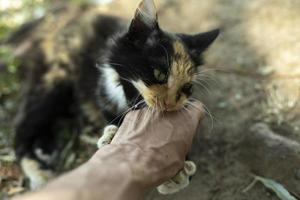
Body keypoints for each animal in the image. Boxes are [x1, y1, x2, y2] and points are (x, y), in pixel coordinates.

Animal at [13, 0, 218, 194]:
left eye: (187, 87)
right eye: (159, 74)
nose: (170, 104)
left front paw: (179, 174)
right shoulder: (104, 94)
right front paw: (111, 136)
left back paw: (45, 148)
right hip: (54, 79)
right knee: (22, 129)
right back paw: (40, 172)